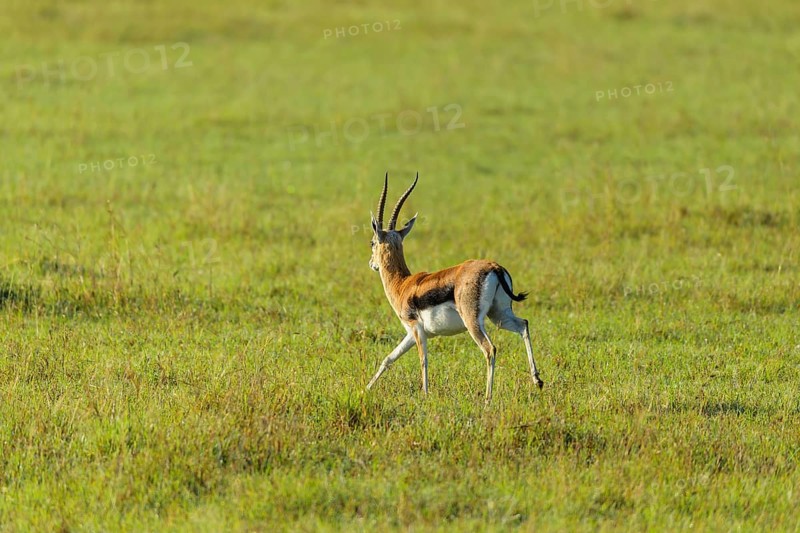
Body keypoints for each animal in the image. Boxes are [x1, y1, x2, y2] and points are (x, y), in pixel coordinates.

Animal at [366, 173, 544, 403]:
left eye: (372, 242)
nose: (372, 264)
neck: (403, 284)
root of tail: (494, 267)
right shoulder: (411, 334)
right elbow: (388, 359)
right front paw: (366, 388)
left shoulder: (416, 329)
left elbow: (423, 360)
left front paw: (425, 394)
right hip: (498, 315)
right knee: (523, 325)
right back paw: (537, 380)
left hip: (473, 321)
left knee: (490, 349)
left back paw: (487, 399)